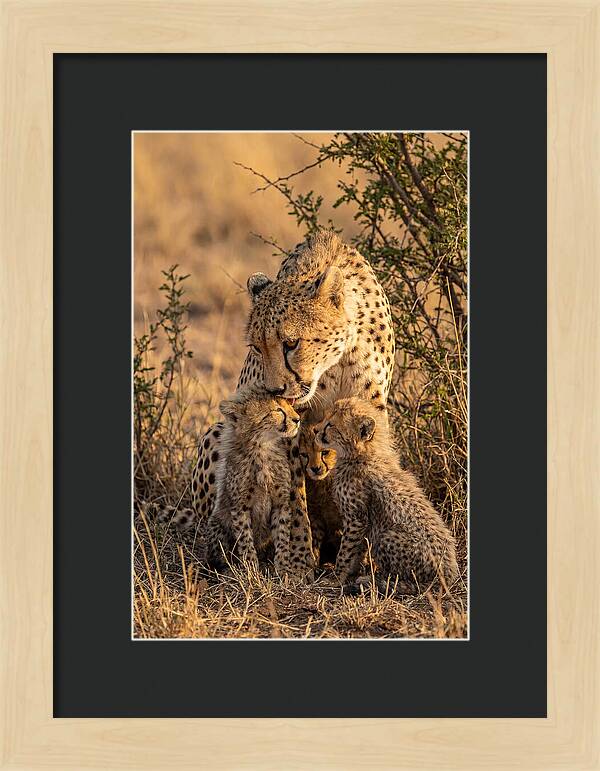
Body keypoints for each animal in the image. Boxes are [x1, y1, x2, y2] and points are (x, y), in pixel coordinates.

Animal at [206, 385, 301, 574]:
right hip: (216, 522)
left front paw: (283, 568)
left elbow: (282, 536)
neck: (262, 449)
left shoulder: (281, 503)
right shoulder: (240, 506)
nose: (297, 419)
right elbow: (245, 539)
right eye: (278, 410)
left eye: (289, 405)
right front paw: (250, 569)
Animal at [315, 397, 459, 595]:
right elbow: (357, 550)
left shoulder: (356, 518)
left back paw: (374, 581)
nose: (315, 430)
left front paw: (336, 577)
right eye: (325, 418)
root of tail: (449, 575)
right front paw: (350, 572)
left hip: (387, 537)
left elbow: (346, 551)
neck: (362, 454)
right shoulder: (362, 521)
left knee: (408, 582)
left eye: (331, 424)